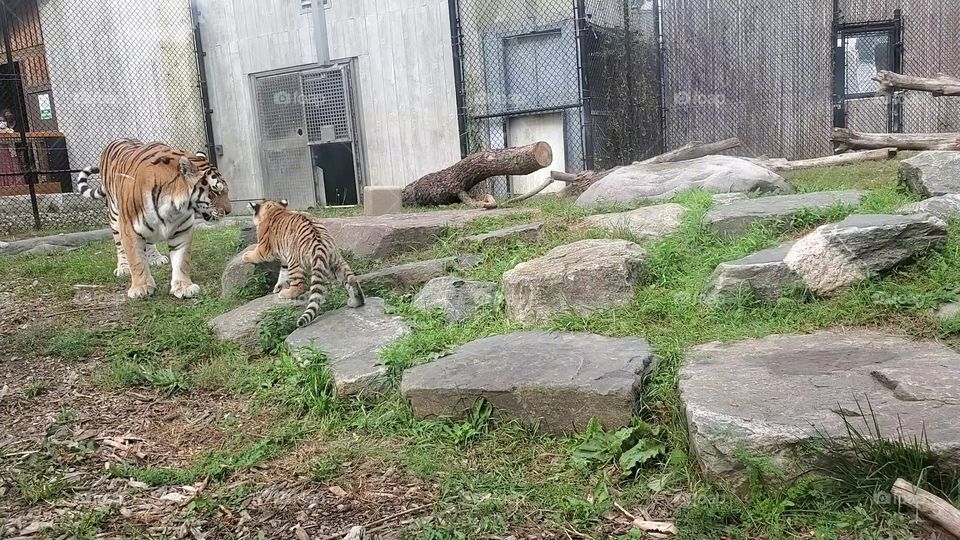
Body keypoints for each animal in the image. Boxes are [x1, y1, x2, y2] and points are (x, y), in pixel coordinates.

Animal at [75, 139, 231, 299]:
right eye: (215, 191)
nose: (228, 211)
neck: (173, 207)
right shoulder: (129, 229)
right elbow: (136, 260)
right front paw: (141, 287)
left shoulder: (182, 230)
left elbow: (182, 260)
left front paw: (183, 286)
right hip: (114, 215)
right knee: (119, 245)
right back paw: (123, 267)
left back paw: (155, 258)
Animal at [243, 199, 364, 327]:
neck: (275, 209)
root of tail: (319, 244)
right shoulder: (285, 259)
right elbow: (283, 272)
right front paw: (278, 286)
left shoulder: (264, 248)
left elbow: (257, 254)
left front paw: (246, 256)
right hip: (336, 263)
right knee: (352, 280)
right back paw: (356, 302)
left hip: (295, 262)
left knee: (301, 285)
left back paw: (286, 293)